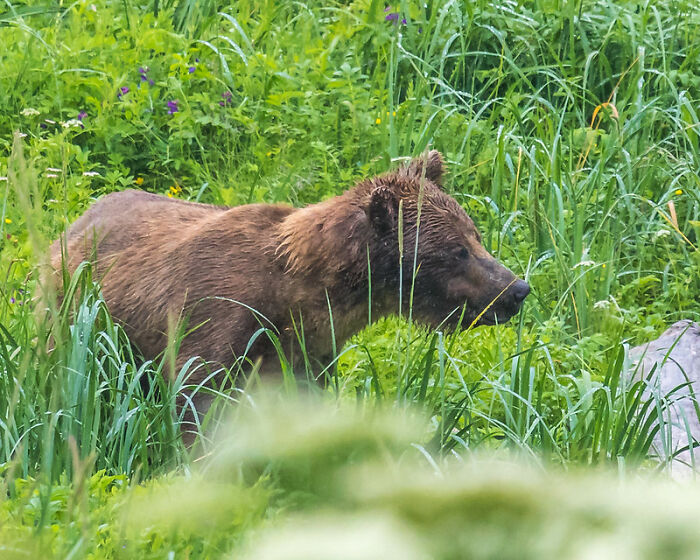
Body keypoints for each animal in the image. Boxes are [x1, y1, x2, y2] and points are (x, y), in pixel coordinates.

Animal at [49, 151, 532, 418]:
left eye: (475, 234)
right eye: (457, 250)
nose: (516, 289)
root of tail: (75, 222)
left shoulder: (309, 351)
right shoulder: (214, 317)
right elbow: (198, 400)